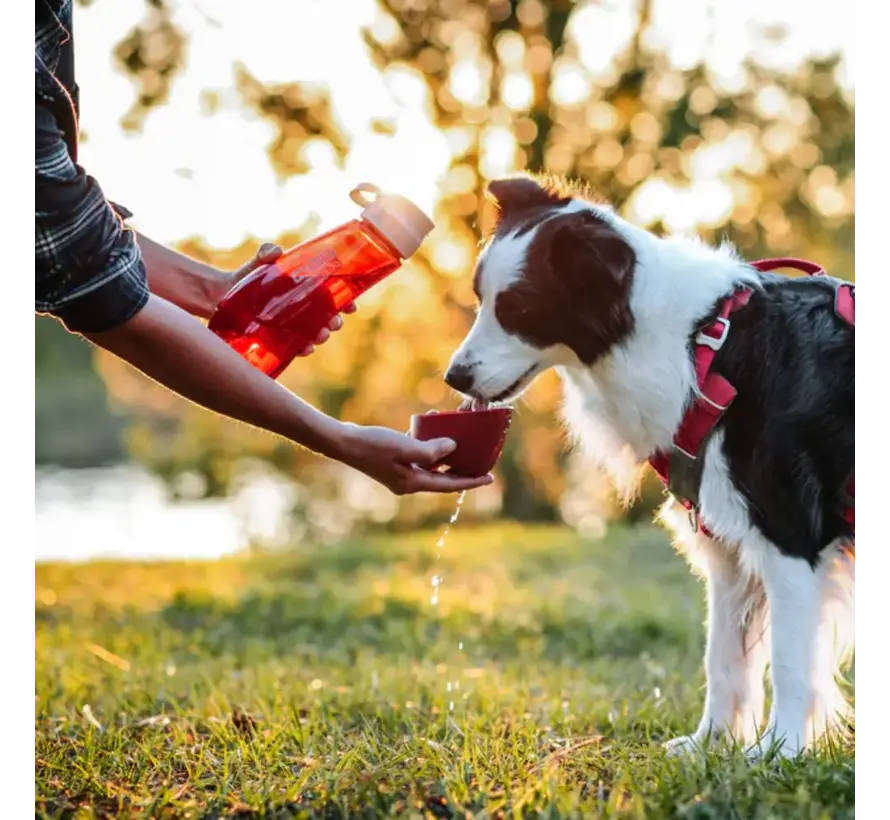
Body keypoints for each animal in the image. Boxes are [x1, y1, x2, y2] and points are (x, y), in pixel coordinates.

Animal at [444, 175, 852, 764]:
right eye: (481, 299)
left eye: (518, 307)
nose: (453, 376)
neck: (700, 351)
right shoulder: (728, 549)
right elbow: (723, 658)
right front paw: (711, 747)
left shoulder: (791, 533)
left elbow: (792, 661)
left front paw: (781, 754)